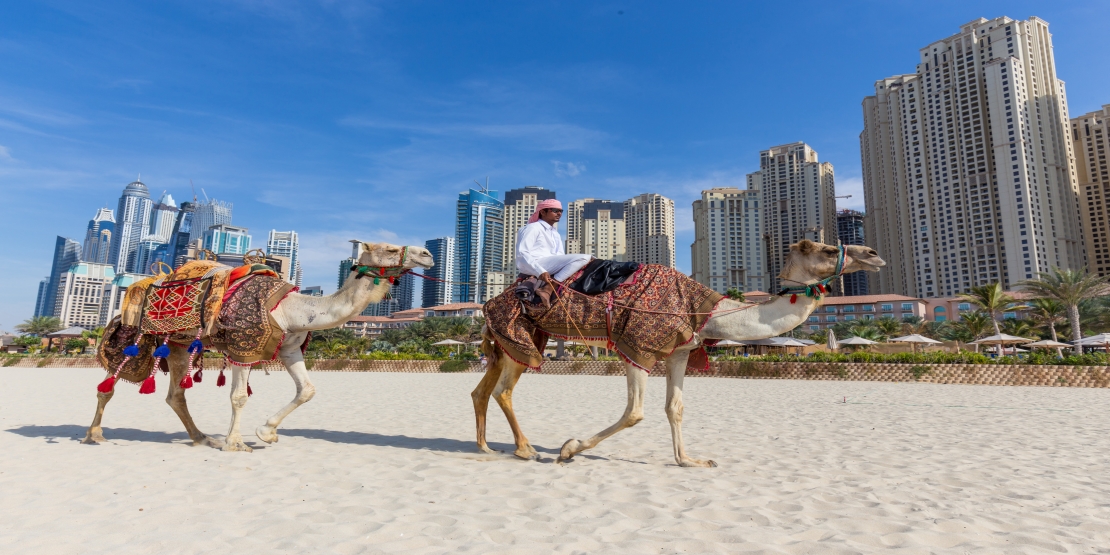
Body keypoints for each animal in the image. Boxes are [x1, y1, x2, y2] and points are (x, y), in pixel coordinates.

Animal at [82, 241, 432, 450]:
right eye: (389, 248)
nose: (426, 254)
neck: (292, 310)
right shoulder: (243, 347)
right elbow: (238, 397)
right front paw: (236, 443)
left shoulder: (289, 349)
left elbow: (307, 390)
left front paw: (266, 431)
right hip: (132, 334)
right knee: (107, 386)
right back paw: (95, 434)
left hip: (179, 345)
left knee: (175, 395)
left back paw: (201, 438)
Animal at [472, 240, 888, 466]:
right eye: (828, 248)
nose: (873, 254)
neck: (707, 311)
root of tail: (492, 300)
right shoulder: (639, 348)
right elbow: (635, 413)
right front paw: (570, 448)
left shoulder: (678, 353)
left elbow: (675, 407)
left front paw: (690, 460)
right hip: (520, 334)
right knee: (503, 390)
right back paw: (525, 450)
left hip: (515, 341)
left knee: (484, 389)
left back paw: (488, 446)